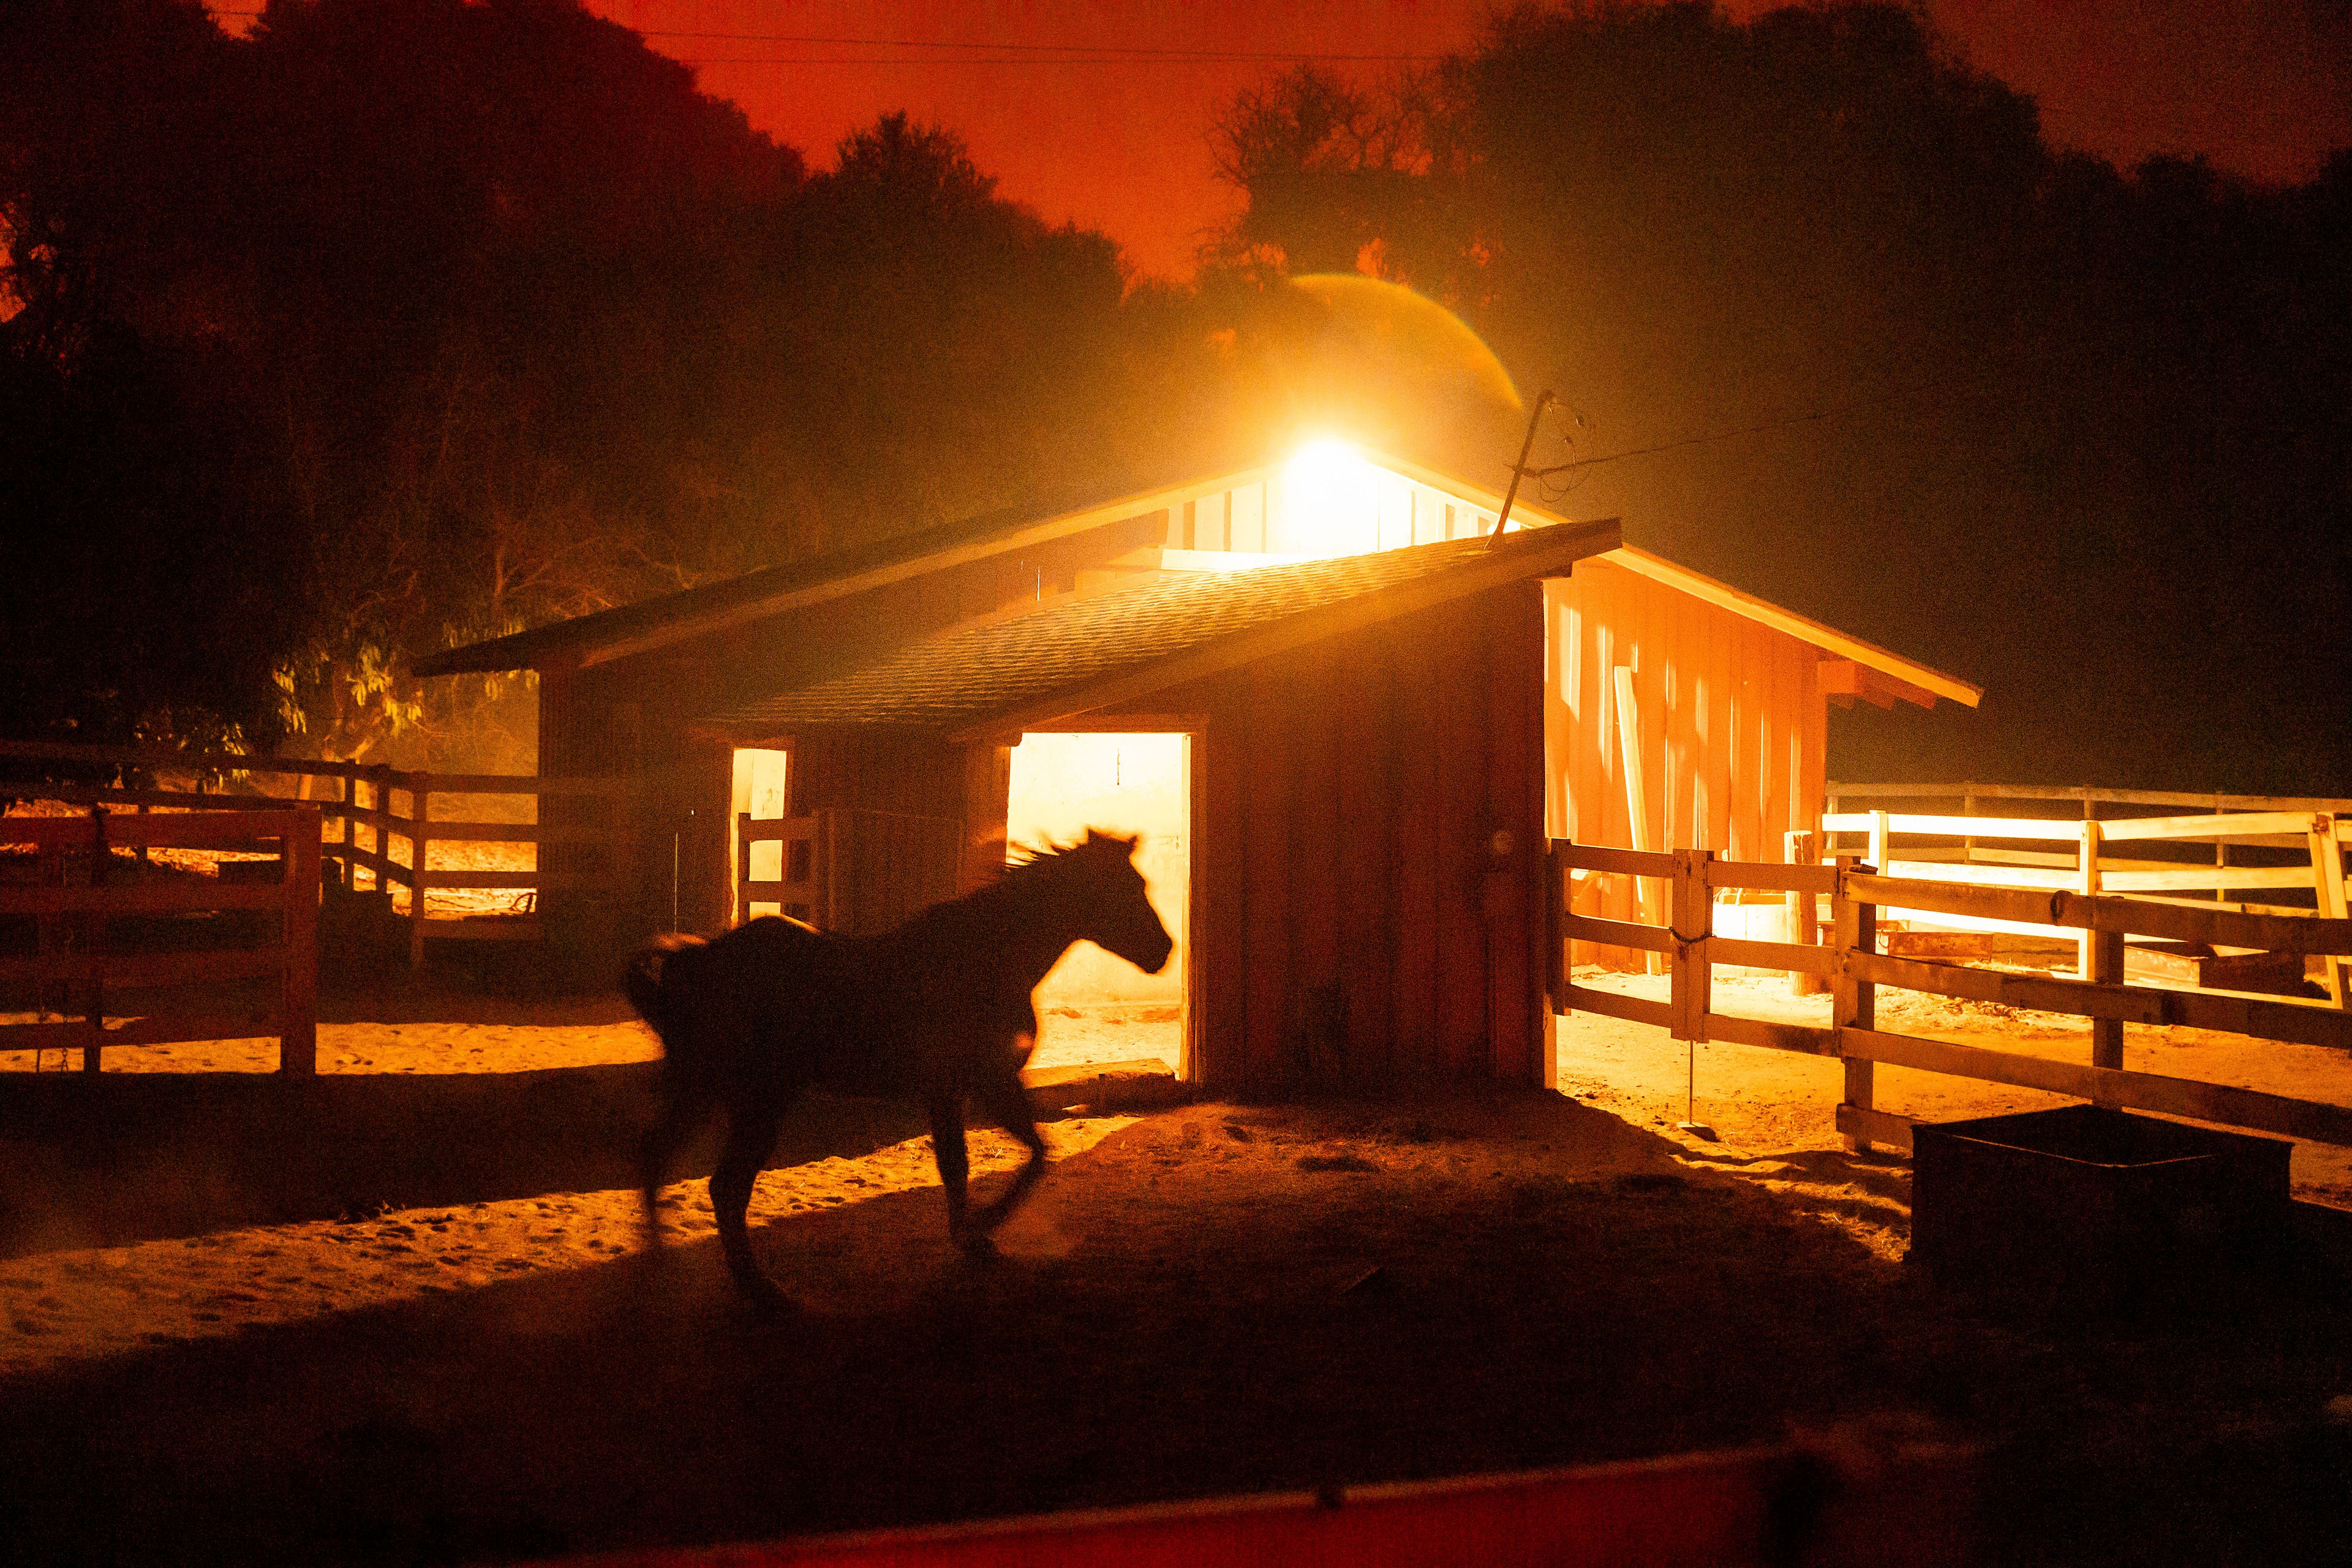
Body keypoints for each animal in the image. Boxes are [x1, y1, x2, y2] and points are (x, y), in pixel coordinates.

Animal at [625, 827, 1176, 1306]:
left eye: (1143, 884)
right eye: (1123, 888)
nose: (1164, 953)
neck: (986, 961)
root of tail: (695, 959)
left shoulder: (977, 1087)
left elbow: (1013, 1156)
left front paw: (976, 1235)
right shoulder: (972, 1085)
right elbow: (989, 1161)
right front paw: (981, 1228)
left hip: (702, 1090)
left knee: (655, 1157)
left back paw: (660, 1266)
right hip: (759, 1101)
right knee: (725, 1188)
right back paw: (764, 1293)